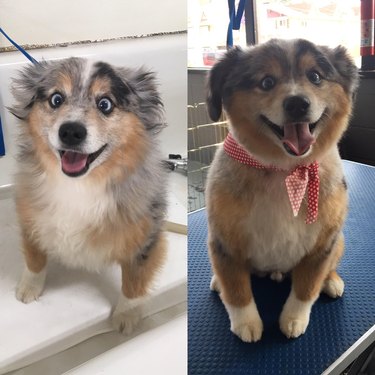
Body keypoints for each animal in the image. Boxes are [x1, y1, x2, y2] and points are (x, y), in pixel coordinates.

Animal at [9, 57, 167, 334]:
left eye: (105, 104)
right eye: (56, 99)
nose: (71, 131)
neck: (79, 186)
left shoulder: (147, 236)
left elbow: (134, 279)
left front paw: (126, 315)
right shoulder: (30, 215)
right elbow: (34, 257)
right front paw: (29, 287)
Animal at [207, 39, 360, 342]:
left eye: (315, 76)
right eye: (266, 82)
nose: (297, 103)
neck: (284, 171)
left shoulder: (323, 243)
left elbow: (307, 287)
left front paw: (294, 318)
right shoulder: (224, 242)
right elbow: (237, 289)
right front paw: (246, 322)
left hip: (340, 241)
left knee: (330, 266)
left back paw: (331, 281)